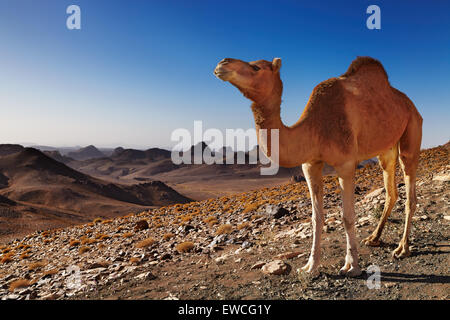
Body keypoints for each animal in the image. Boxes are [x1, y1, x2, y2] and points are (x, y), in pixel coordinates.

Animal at [214, 56, 422, 276]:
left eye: (256, 67)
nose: (222, 63)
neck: (316, 126)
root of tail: (410, 104)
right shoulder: (310, 164)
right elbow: (316, 217)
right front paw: (310, 266)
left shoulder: (346, 164)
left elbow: (347, 216)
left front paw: (352, 266)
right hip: (387, 148)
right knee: (391, 190)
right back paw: (374, 238)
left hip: (412, 130)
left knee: (410, 192)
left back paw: (402, 248)